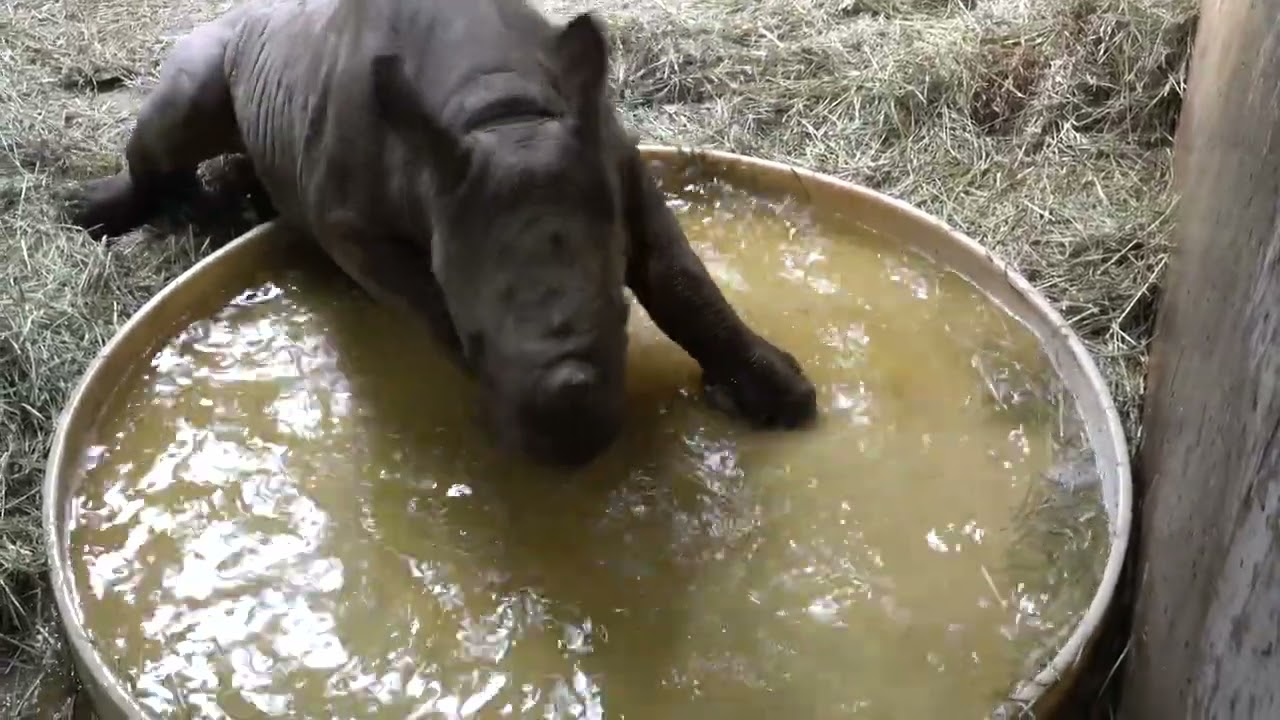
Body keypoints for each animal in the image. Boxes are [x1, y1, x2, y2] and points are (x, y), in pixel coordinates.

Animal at [67, 0, 819, 467]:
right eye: (477, 342)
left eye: (621, 314)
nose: (573, 444)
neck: (500, 116)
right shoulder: (349, 224)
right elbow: (426, 301)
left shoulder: (612, 162)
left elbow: (680, 275)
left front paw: (783, 398)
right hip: (219, 43)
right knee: (182, 111)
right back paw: (115, 212)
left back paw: (233, 200)